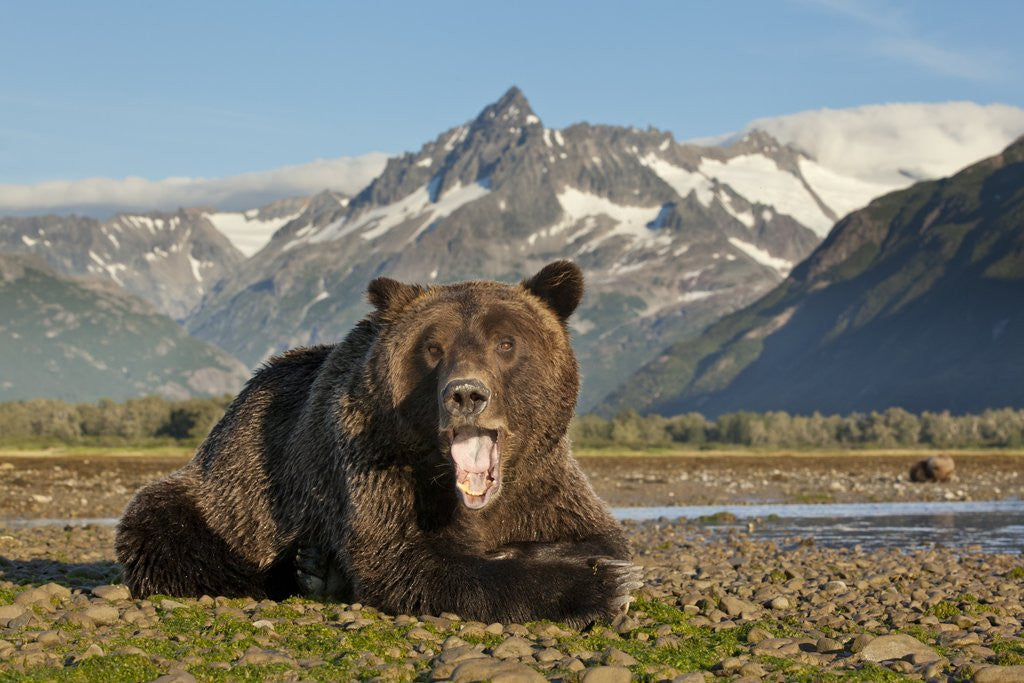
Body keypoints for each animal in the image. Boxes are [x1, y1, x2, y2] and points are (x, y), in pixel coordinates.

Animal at [115, 260, 639, 627]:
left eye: (506, 343)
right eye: (433, 346)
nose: (466, 393)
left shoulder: (544, 483)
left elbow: (599, 533)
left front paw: (594, 563)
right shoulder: (375, 468)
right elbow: (406, 563)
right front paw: (599, 585)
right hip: (229, 493)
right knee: (166, 530)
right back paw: (308, 572)